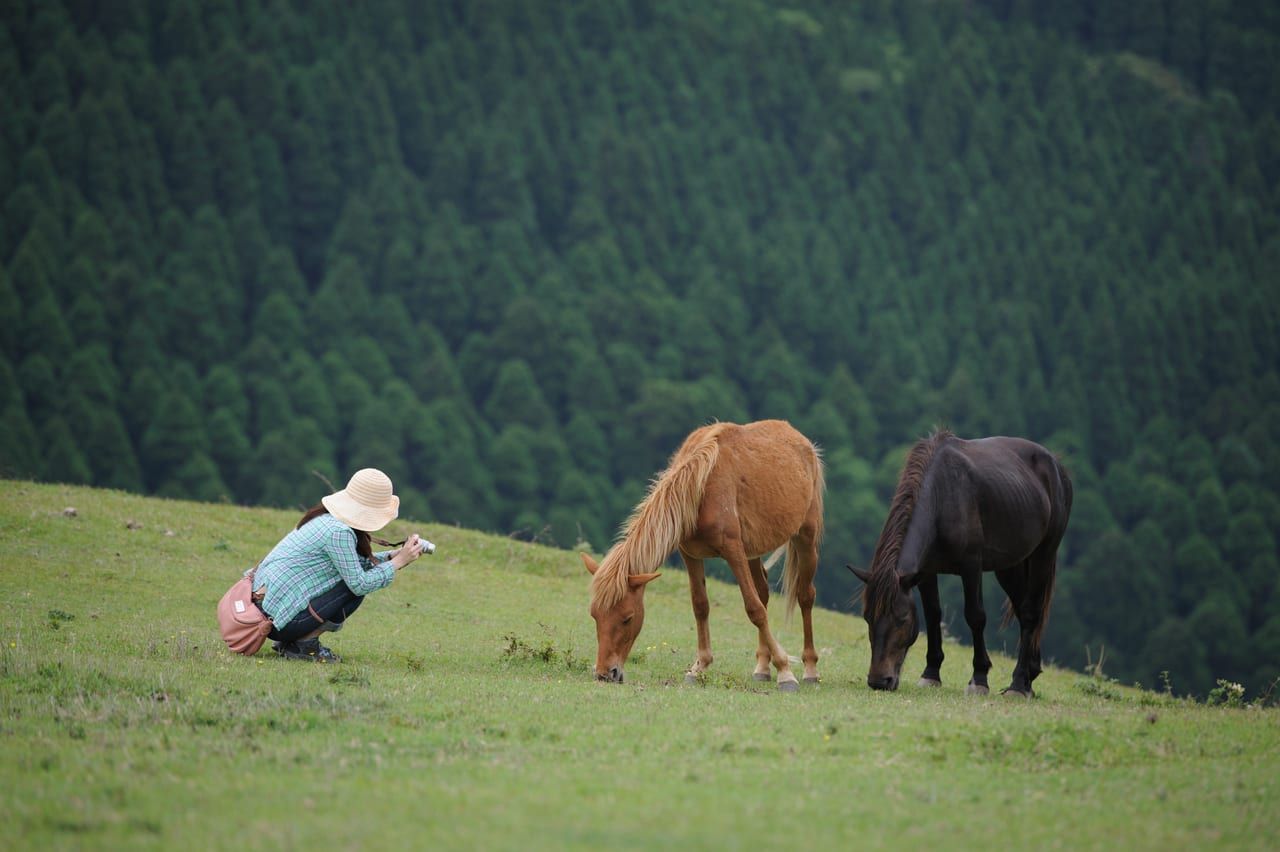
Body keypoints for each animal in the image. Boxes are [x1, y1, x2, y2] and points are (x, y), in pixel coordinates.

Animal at [583, 420, 825, 691]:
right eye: (594, 615)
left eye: (627, 618)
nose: (606, 673)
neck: (700, 486)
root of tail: (801, 440)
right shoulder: (690, 555)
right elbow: (701, 606)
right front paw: (699, 667)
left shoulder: (733, 551)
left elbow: (754, 609)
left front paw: (785, 670)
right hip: (753, 550)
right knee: (763, 592)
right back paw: (762, 667)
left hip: (805, 537)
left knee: (805, 596)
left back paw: (810, 669)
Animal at [849, 430, 1072, 697]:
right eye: (867, 617)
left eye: (901, 619)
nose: (879, 681)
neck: (942, 497)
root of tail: (1057, 466)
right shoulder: (925, 572)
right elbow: (933, 614)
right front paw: (931, 673)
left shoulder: (971, 567)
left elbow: (975, 616)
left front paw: (980, 678)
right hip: (1010, 566)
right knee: (1022, 608)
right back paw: (1029, 676)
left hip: (1043, 554)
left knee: (1031, 612)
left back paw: (1018, 684)